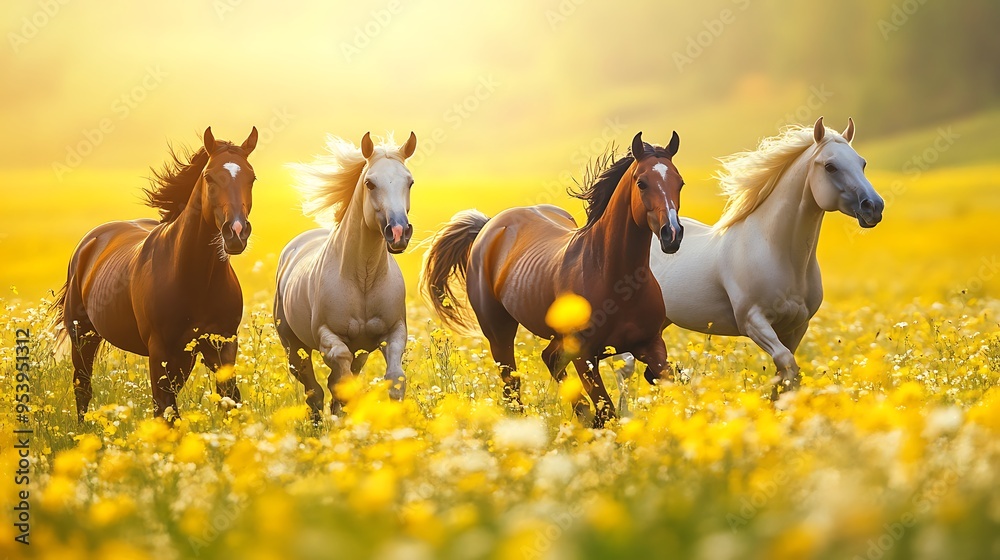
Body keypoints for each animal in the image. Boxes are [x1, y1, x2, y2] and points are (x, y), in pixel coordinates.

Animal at [53, 127, 259, 421]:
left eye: (251, 178)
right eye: (209, 177)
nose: (237, 232)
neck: (195, 278)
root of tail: (88, 244)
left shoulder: (222, 346)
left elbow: (229, 399)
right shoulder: (160, 352)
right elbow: (164, 410)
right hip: (82, 337)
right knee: (82, 387)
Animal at [274, 131, 417, 422]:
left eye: (409, 181)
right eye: (370, 183)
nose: (398, 232)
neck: (363, 278)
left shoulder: (393, 332)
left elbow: (395, 379)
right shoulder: (329, 338)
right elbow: (340, 379)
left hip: (359, 353)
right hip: (294, 347)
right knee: (314, 390)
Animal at [422, 131, 685, 428]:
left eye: (680, 182)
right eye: (642, 183)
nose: (672, 234)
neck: (617, 280)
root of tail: (489, 225)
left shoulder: (651, 344)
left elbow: (668, 385)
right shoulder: (584, 355)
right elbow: (607, 412)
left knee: (549, 358)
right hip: (498, 332)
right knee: (512, 384)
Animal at [614, 117, 884, 405]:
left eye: (862, 163)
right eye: (831, 166)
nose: (874, 207)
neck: (779, 254)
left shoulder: (797, 327)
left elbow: (784, 373)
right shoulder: (753, 321)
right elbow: (787, 365)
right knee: (624, 369)